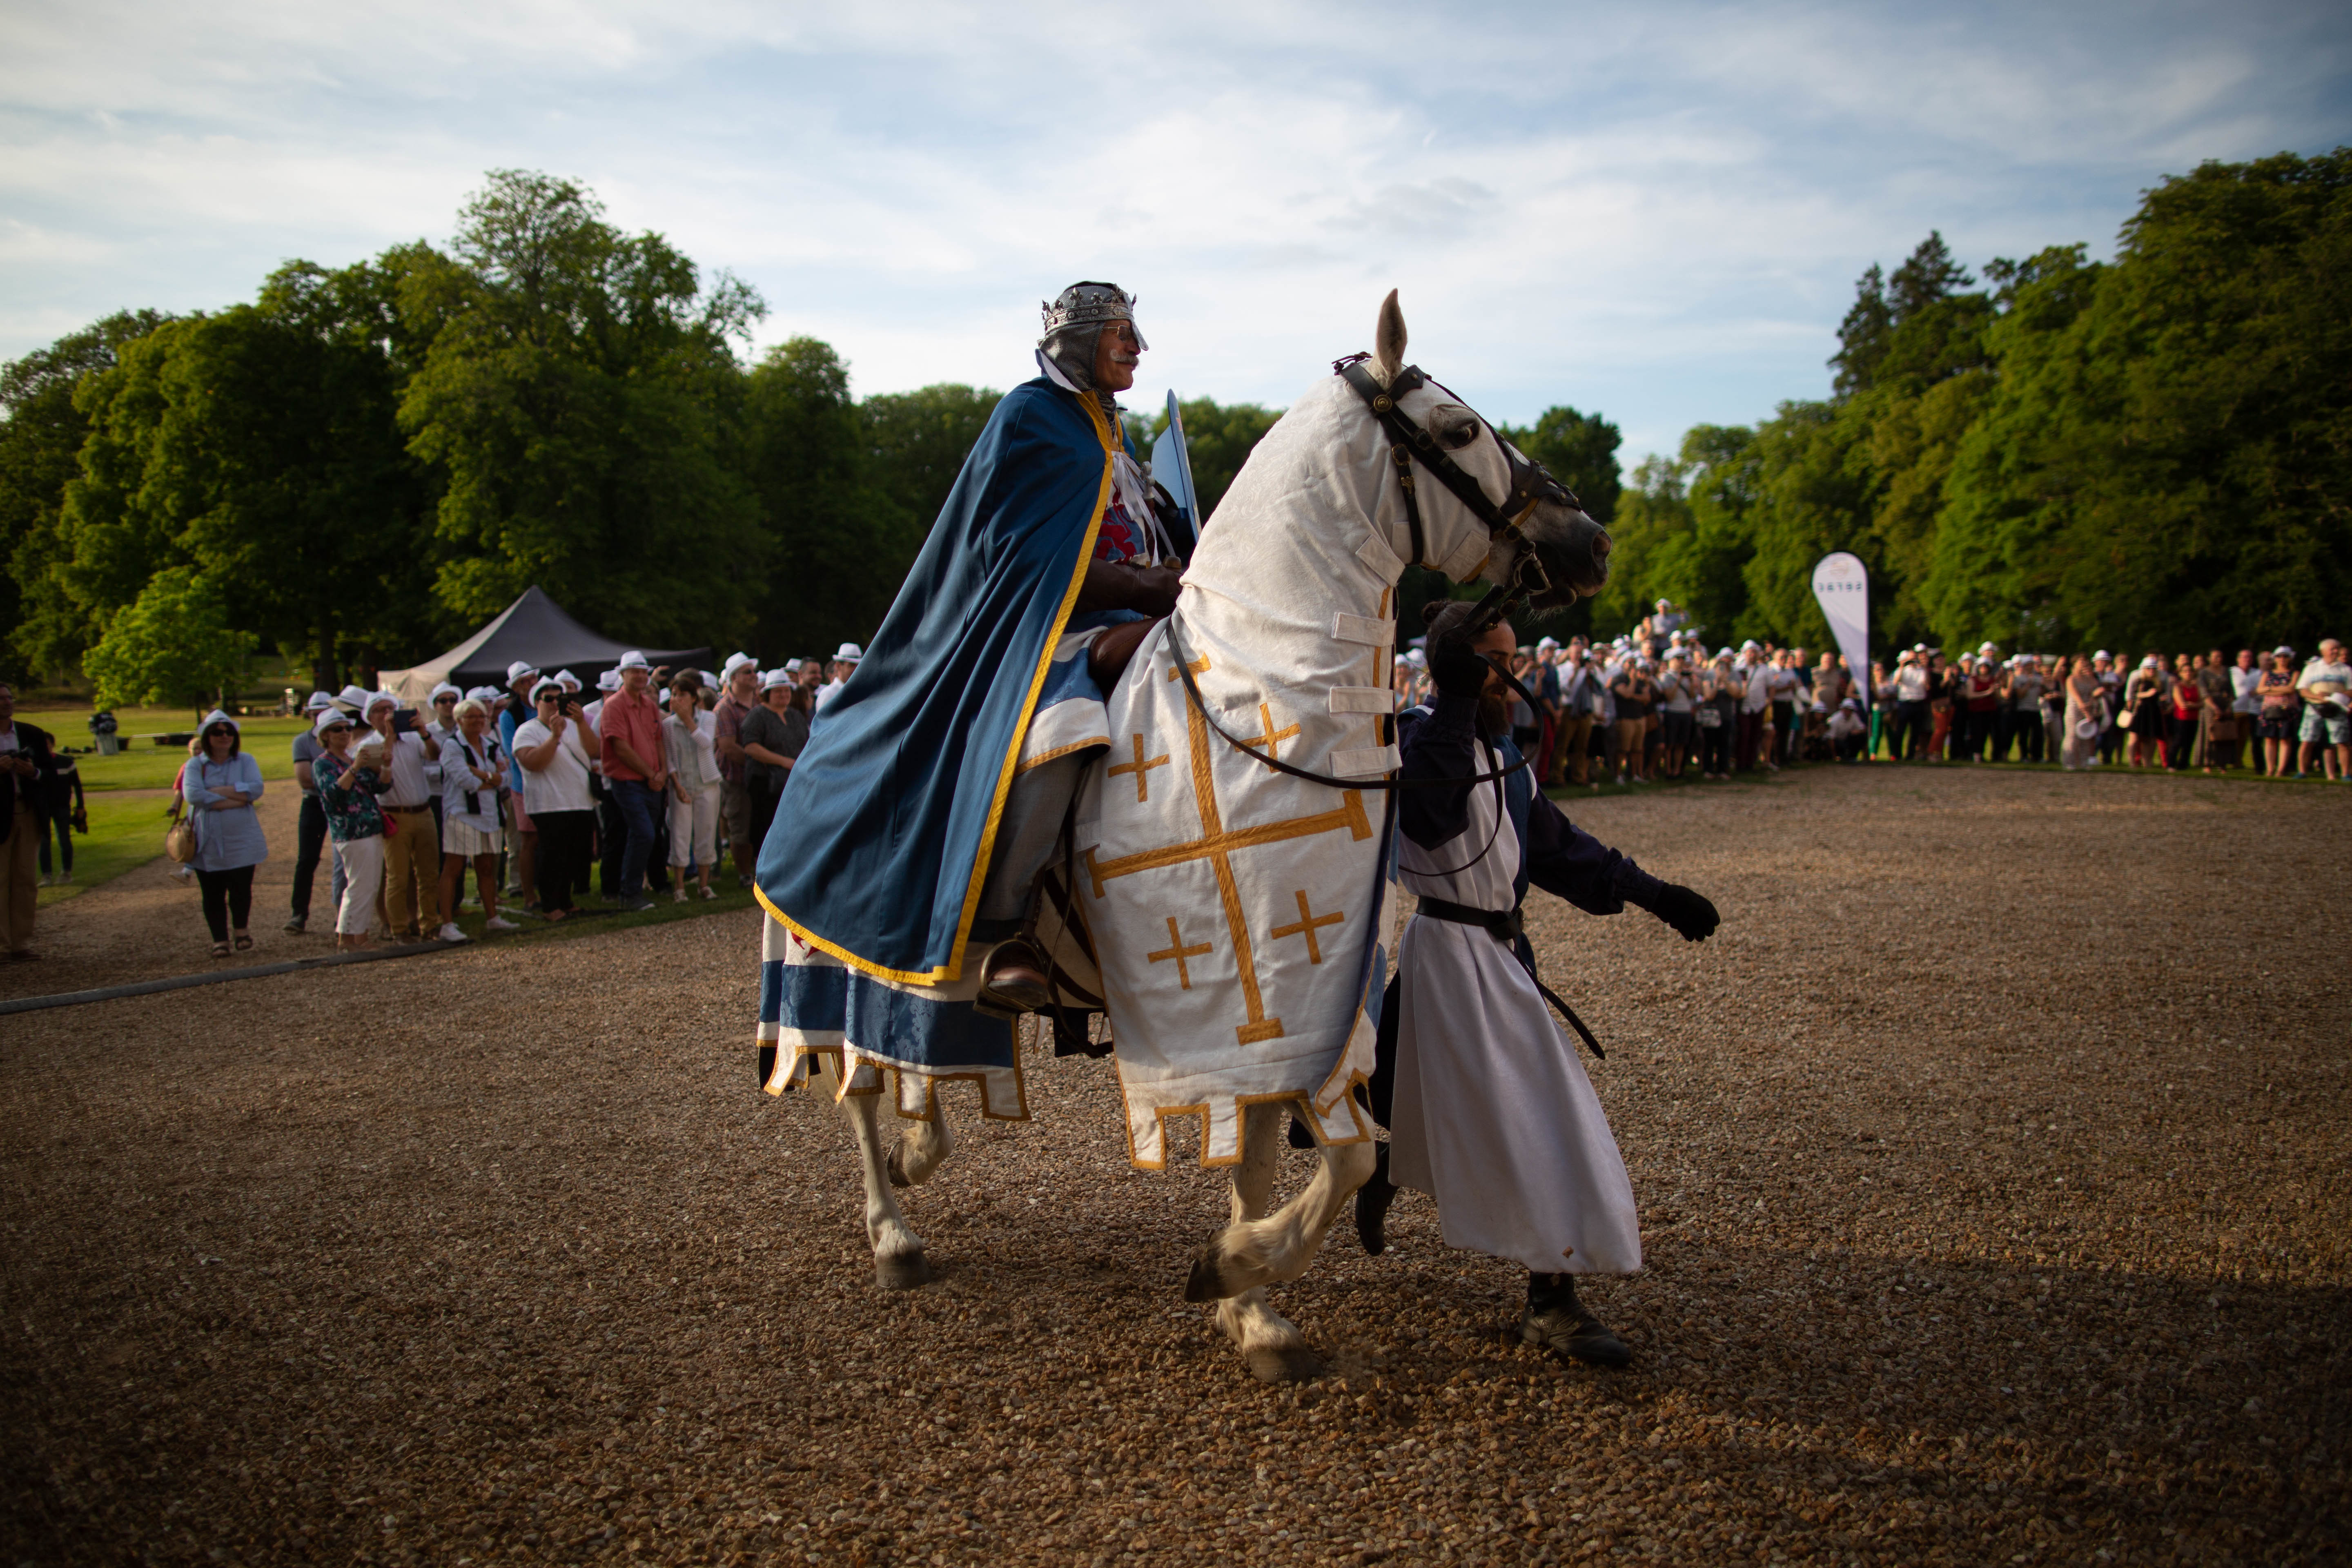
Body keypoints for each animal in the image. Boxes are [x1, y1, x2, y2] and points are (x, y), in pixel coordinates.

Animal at [804, 291, 1599, 1373]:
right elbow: (1338, 1156)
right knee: (857, 1080)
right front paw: (1235, 1268)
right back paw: (891, 1227)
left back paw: (921, 1147)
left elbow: (1317, 1157)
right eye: (1458, 429)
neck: (1261, 699)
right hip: (845, 946)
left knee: (913, 1057)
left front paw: (1250, 1299)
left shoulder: (1292, 994)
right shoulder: (1233, 988)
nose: (1587, 537)